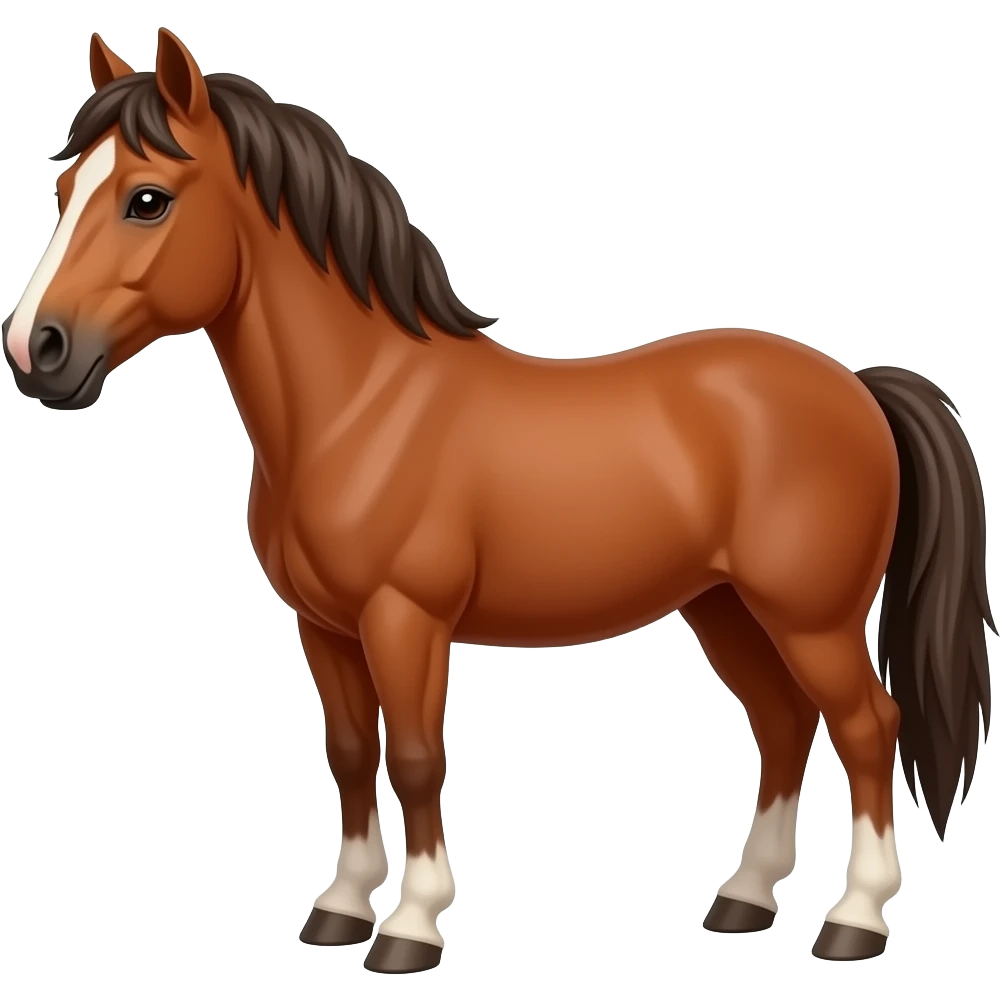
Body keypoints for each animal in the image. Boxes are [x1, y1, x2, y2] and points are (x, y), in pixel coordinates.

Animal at [2, 28, 995, 972]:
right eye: (65, 191)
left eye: (147, 199)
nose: (35, 349)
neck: (363, 406)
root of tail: (856, 386)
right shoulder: (325, 628)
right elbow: (351, 755)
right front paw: (338, 911)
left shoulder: (405, 620)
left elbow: (415, 760)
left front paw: (410, 927)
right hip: (726, 608)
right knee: (786, 726)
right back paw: (744, 900)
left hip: (811, 617)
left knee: (867, 728)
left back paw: (854, 920)